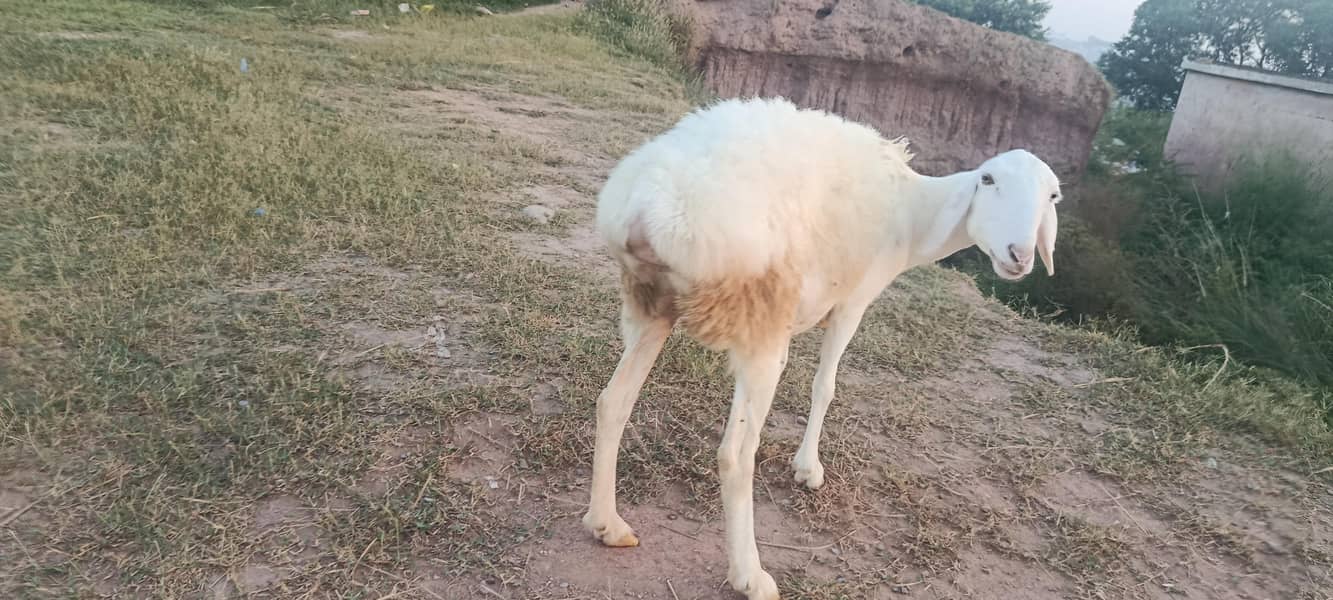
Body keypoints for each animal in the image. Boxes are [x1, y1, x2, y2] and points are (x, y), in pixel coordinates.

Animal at [583, 97, 1060, 600]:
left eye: (1052, 197)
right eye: (988, 180)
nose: (1019, 255)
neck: (914, 212)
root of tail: (650, 208)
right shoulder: (853, 302)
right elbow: (825, 386)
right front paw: (808, 468)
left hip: (652, 304)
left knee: (612, 402)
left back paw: (607, 524)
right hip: (759, 322)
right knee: (734, 454)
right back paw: (751, 574)